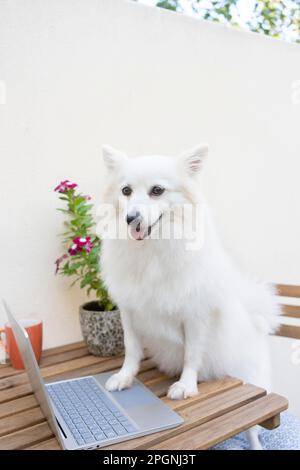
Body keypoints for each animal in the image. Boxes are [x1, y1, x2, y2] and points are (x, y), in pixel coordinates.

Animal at [98, 145, 282, 450]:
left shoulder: (196, 315)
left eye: (157, 191)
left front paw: (186, 386)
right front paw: (125, 377)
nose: (131, 218)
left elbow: (192, 354)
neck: (154, 250)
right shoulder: (129, 311)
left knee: (253, 429)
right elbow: (132, 349)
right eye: (126, 191)